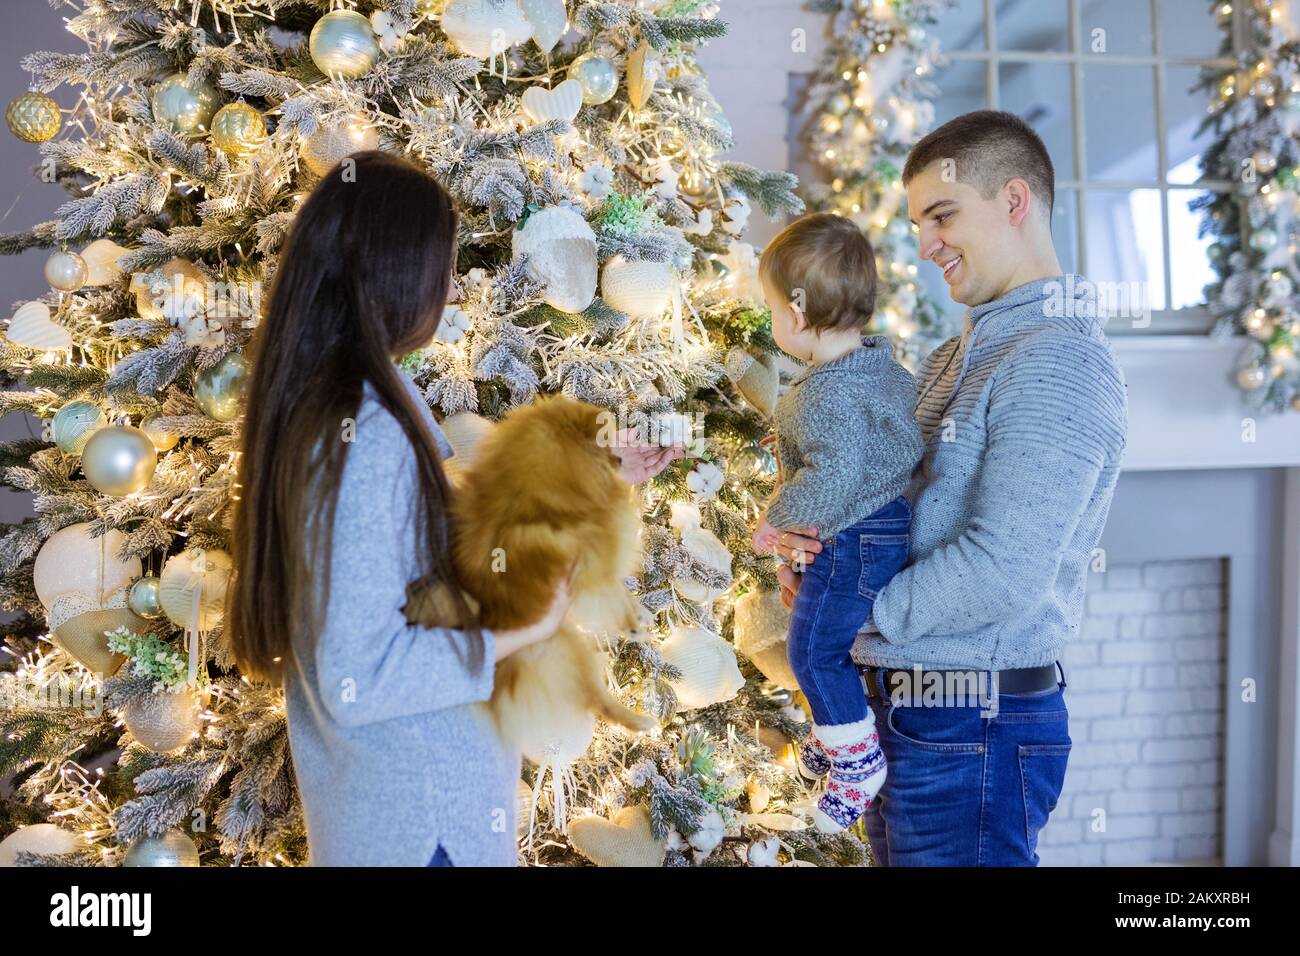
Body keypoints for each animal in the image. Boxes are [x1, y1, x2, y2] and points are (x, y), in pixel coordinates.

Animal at [403, 392, 655, 749]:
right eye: (606, 446)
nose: (620, 459)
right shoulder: (592, 568)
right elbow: (614, 598)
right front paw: (634, 625)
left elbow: (622, 593)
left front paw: (641, 615)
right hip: (560, 648)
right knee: (596, 700)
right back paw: (641, 721)